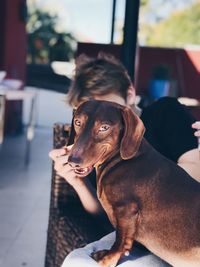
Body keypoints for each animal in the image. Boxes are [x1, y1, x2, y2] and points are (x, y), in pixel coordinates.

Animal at [68, 100, 200, 267]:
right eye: (78, 122)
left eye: (104, 127)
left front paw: (108, 259)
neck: (120, 160)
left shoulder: (126, 209)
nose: (73, 161)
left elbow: (121, 241)